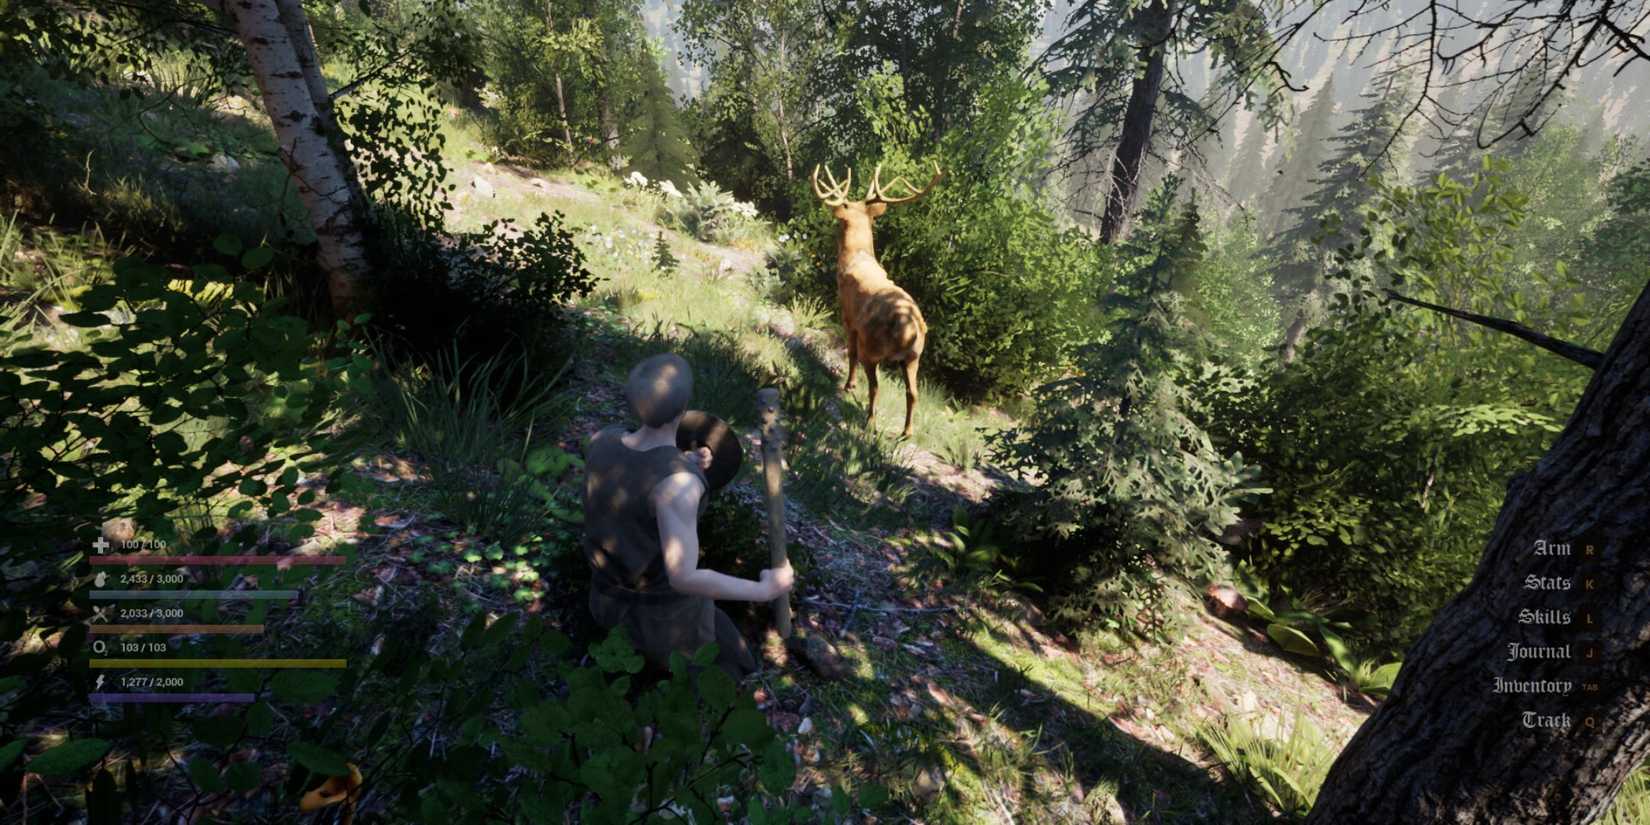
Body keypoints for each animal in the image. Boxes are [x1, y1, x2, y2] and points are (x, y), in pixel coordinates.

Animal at [811, 161, 942, 438]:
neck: (856, 257)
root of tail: (908, 328)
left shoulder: (848, 316)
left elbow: (849, 352)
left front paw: (848, 385)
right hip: (914, 356)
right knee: (913, 392)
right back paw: (906, 432)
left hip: (872, 347)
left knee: (875, 385)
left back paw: (870, 421)